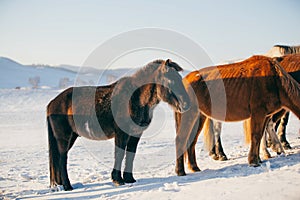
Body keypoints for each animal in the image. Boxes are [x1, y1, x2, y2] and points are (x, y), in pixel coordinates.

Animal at [48, 58, 191, 190]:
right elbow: (120, 154)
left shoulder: (135, 134)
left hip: (71, 136)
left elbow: (130, 154)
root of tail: (52, 103)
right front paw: (117, 179)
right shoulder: (121, 133)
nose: (186, 104)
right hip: (64, 138)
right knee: (62, 158)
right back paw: (68, 186)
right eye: (171, 80)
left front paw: (129, 178)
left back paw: (61, 184)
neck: (135, 99)